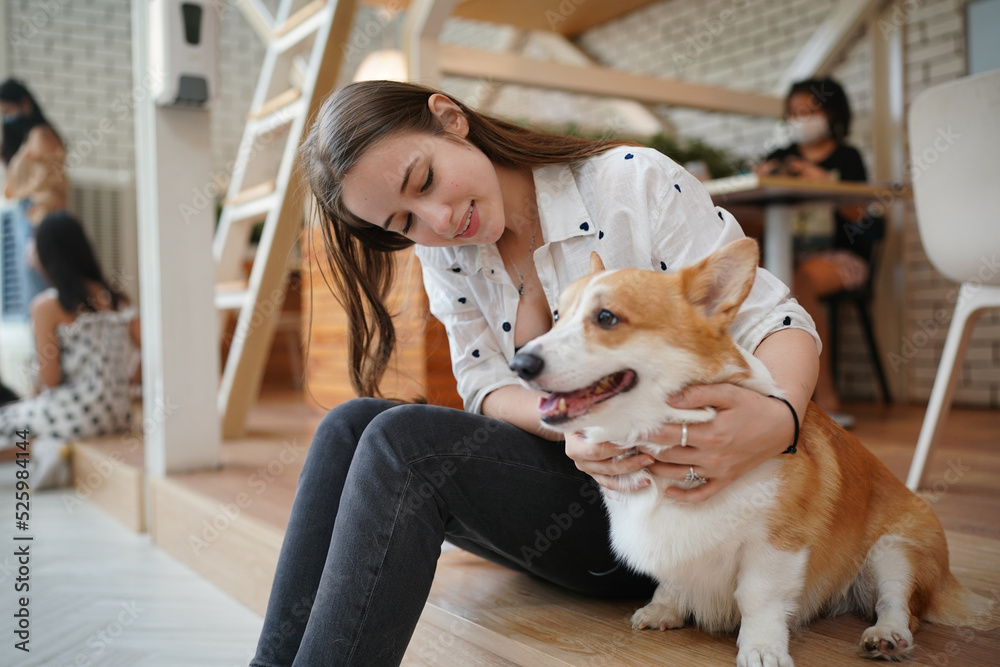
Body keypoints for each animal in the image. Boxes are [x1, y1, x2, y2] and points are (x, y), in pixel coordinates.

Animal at [512, 239, 996, 664]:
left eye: (607, 317)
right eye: (557, 317)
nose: (518, 364)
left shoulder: (777, 545)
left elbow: (757, 598)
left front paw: (762, 649)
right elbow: (671, 578)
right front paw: (664, 607)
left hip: (895, 552)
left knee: (899, 605)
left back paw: (886, 637)